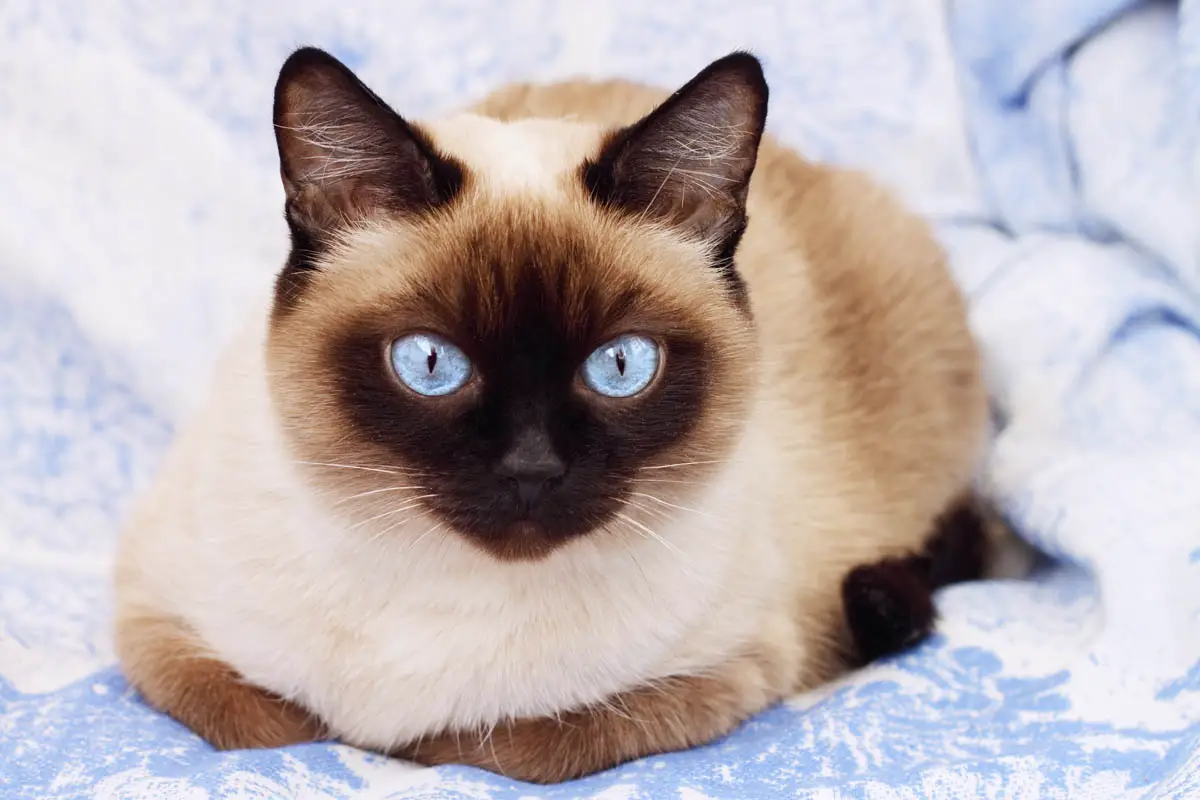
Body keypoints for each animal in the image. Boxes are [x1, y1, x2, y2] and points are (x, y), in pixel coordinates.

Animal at [112, 48, 993, 782]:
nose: (531, 469)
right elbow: (275, 726)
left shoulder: (725, 672)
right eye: (429, 364)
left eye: (621, 366)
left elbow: (488, 744)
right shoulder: (157, 626)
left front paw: (406, 747)